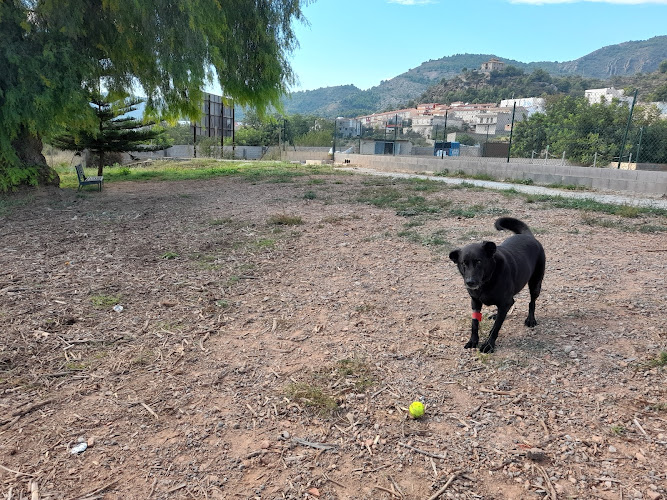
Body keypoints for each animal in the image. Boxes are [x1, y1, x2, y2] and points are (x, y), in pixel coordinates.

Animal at [448, 217, 548, 354]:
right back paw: (497, 315)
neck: (487, 281)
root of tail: (528, 235)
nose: (470, 282)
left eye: (478, 261)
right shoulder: (475, 302)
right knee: (511, 304)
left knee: (531, 302)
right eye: (463, 263)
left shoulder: (505, 301)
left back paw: (531, 319)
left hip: (535, 283)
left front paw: (489, 345)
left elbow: (495, 328)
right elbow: (474, 323)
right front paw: (473, 340)